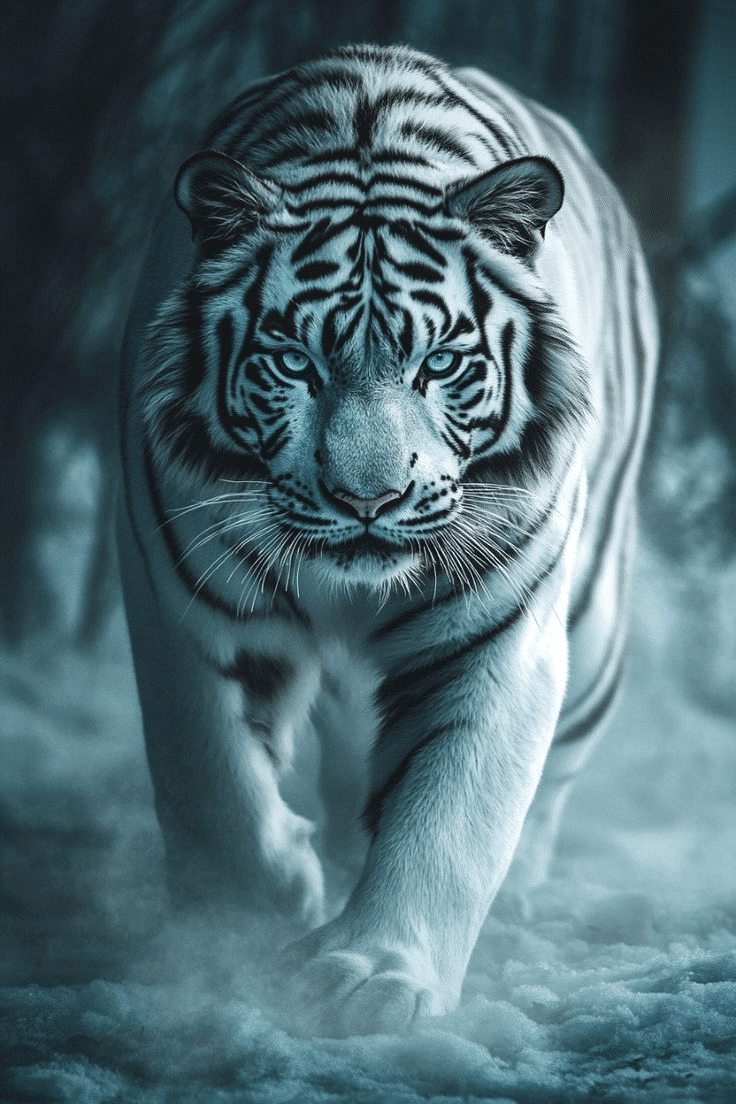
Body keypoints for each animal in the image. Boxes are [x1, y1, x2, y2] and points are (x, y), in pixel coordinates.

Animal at [118, 44, 658, 1037]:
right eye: (294, 362)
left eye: (440, 362)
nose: (369, 499)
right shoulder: (180, 588)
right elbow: (207, 774)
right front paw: (235, 929)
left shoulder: (499, 628)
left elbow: (451, 812)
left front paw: (372, 976)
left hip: (597, 636)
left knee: (548, 786)